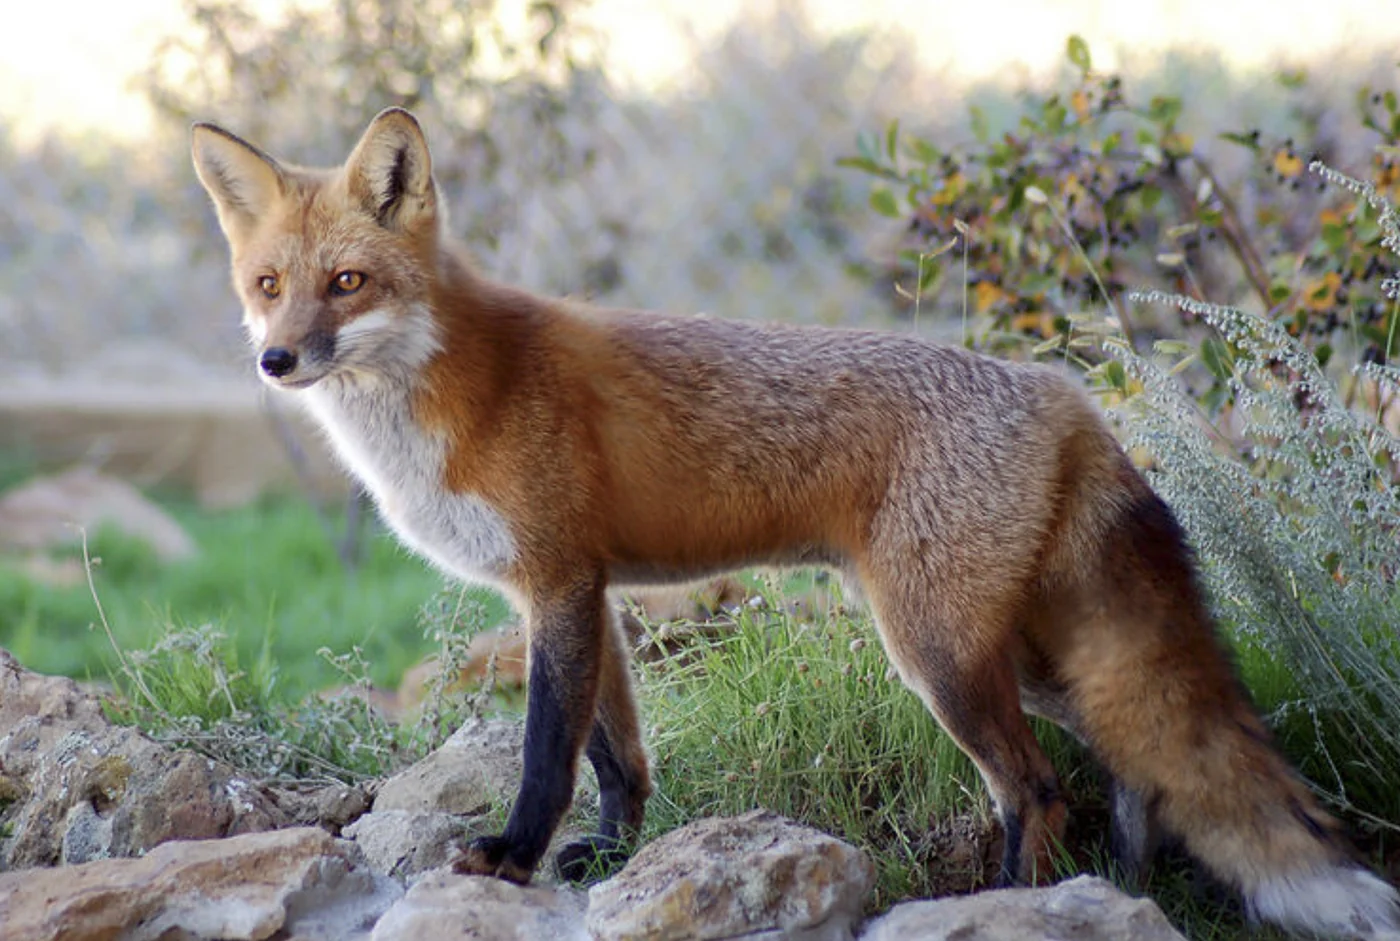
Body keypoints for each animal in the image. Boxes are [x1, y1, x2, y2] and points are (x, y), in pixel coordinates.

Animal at [191, 107, 1399, 938]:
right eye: (269, 284)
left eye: (348, 283)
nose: (276, 359)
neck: (455, 388)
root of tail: (1065, 394)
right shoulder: (585, 592)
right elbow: (617, 756)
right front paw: (605, 860)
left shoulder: (557, 584)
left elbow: (544, 750)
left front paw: (513, 857)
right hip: (1015, 653)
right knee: (1131, 765)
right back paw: (1120, 892)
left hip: (937, 653)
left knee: (1037, 785)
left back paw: (1012, 904)